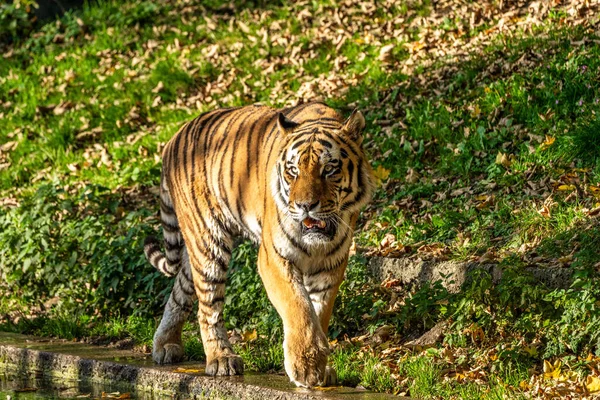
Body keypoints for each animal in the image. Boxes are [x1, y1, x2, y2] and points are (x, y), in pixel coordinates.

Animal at [143, 101, 372, 390]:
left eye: (329, 169)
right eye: (293, 171)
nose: (305, 206)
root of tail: (174, 137)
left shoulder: (332, 263)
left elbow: (319, 312)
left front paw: (321, 366)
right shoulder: (273, 257)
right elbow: (298, 306)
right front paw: (305, 366)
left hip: (196, 248)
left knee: (180, 292)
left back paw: (165, 345)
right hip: (209, 242)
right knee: (208, 308)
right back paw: (221, 358)